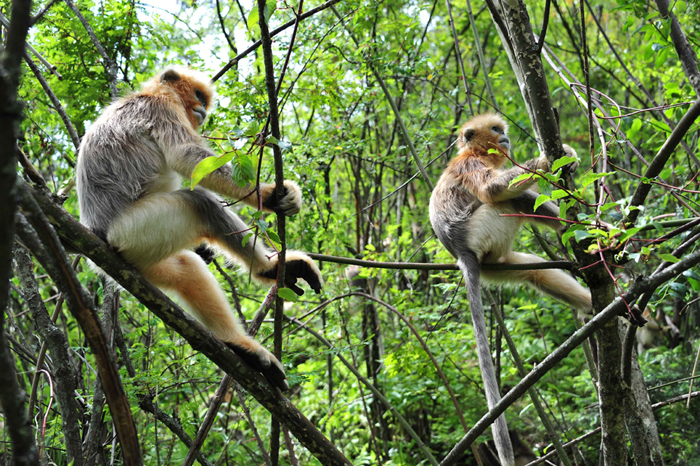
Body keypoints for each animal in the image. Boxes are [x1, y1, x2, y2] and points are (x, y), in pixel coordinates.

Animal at [78, 68, 324, 390]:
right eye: (198, 96)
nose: (203, 112)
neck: (149, 94)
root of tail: (99, 236)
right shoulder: (160, 109)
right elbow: (189, 157)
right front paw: (272, 196)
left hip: (141, 254)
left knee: (186, 269)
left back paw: (244, 349)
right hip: (134, 230)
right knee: (201, 203)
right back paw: (270, 271)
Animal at [426, 113, 592, 466]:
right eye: (495, 130)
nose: (506, 138)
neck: (469, 151)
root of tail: (463, 255)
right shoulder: (469, 165)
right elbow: (490, 189)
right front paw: (549, 159)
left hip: (497, 262)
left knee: (533, 270)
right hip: (485, 230)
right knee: (513, 198)